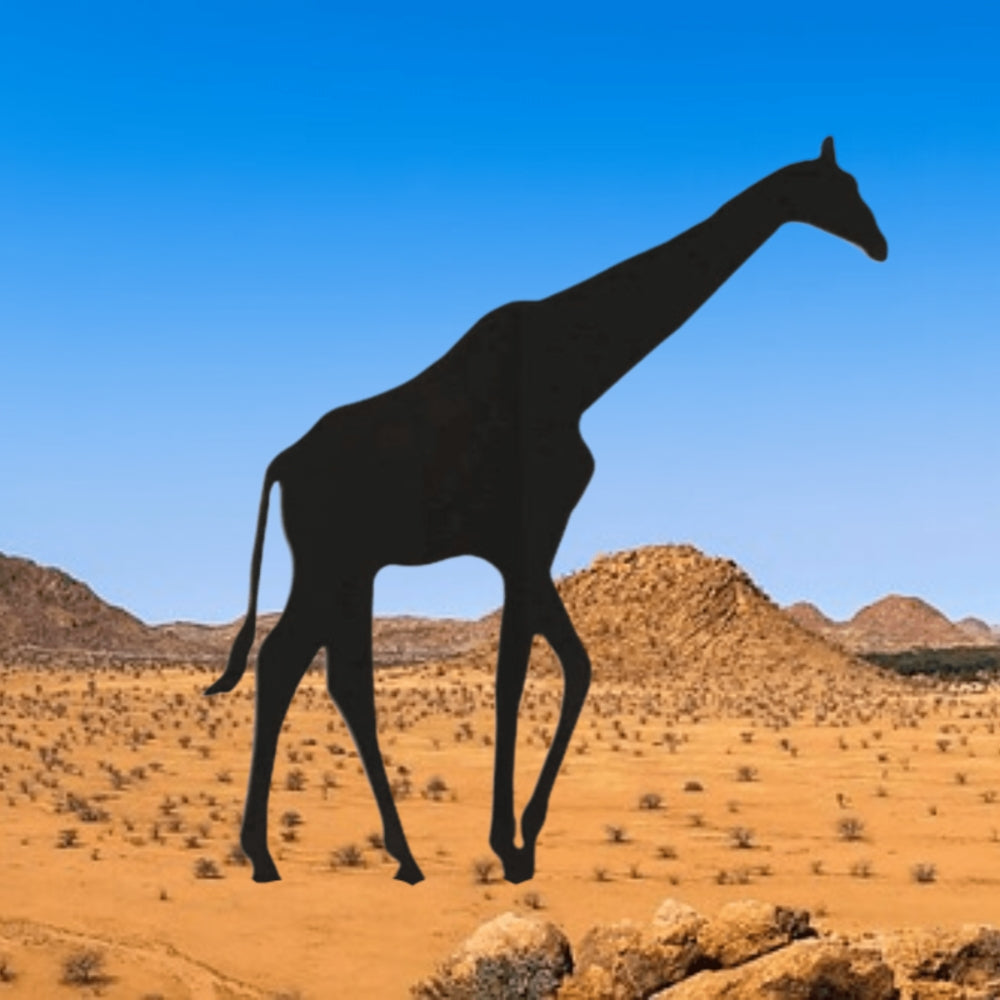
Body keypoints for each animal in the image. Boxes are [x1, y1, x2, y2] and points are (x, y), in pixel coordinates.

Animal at [206, 137, 887, 885]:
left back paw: (378, 855)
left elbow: (572, 666)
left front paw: (521, 839)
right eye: (843, 188)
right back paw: (279, 855)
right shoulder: (529, 540)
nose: (880, 244)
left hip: (351, 567)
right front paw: (510, 845)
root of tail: (281, 463)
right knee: (298, 666)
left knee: (323, 673)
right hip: (334, 562)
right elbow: (517, 677)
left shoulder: (526, 549)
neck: (576, 376)